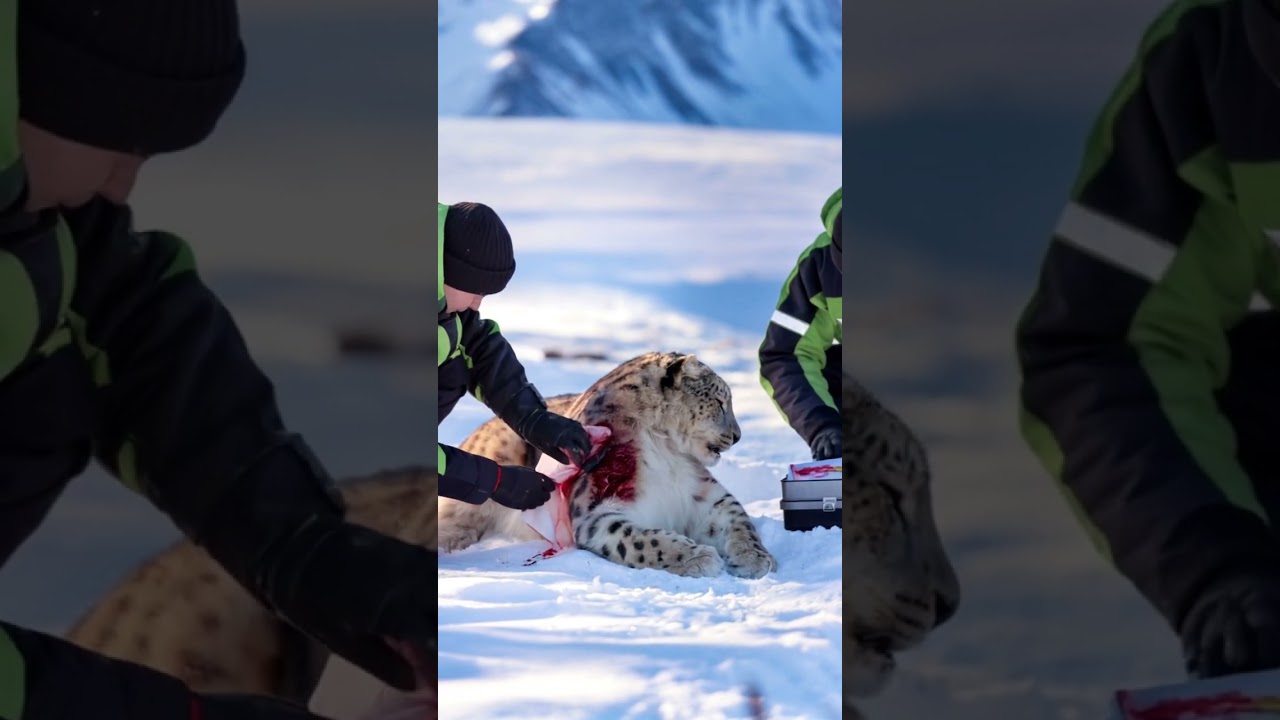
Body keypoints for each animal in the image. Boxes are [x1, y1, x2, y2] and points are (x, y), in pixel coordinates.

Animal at [437, 351, 778, 580]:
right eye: (720, 402)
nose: (737, 435)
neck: (667, 453)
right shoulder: (598, 510)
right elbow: (642, 541)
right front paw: (698, 557)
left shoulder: (706, 496)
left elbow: (739, 521)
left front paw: (754, 558)